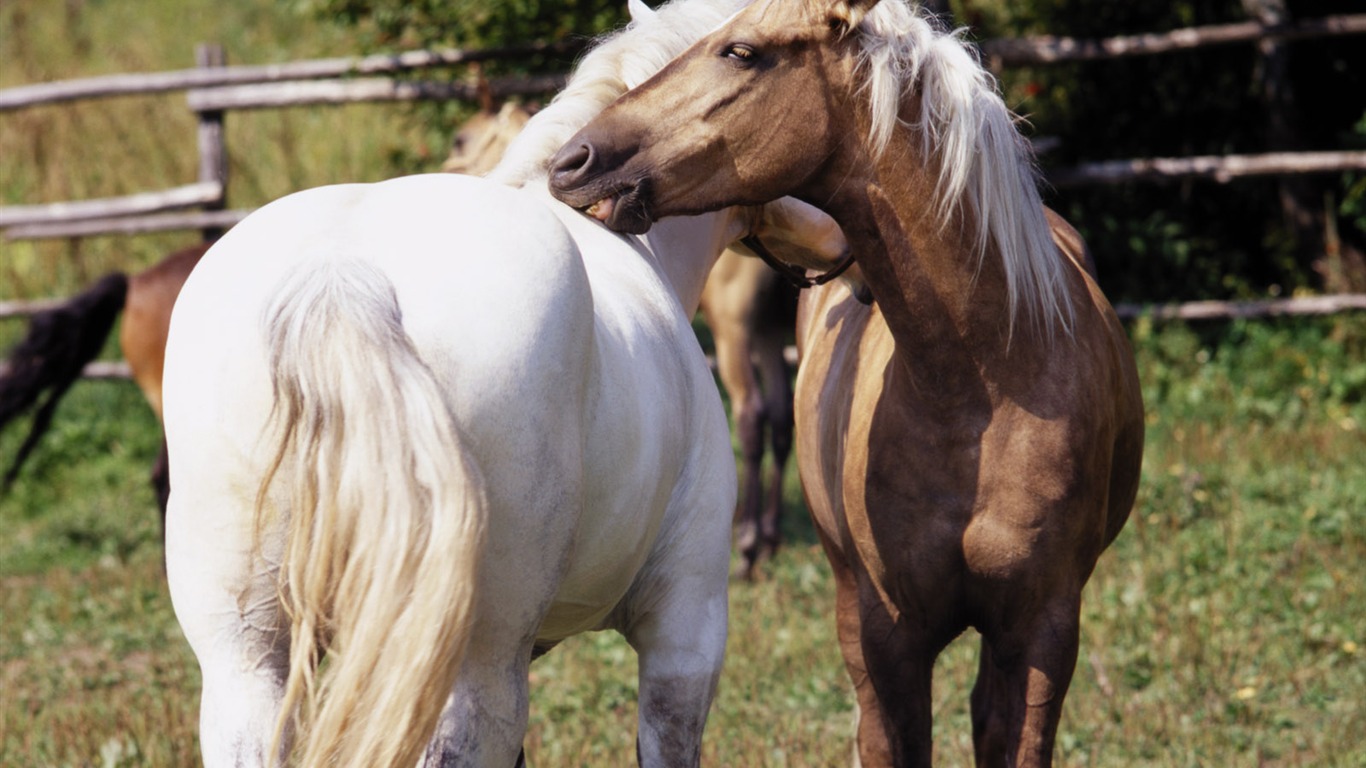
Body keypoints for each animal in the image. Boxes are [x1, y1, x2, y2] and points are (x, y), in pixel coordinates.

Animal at [442, 98, 797, 576]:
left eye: (461, 139)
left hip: (736, 334)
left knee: (753, 415)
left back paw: (747, 543)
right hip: (768, 336)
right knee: (781, 418)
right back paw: (770, 535)